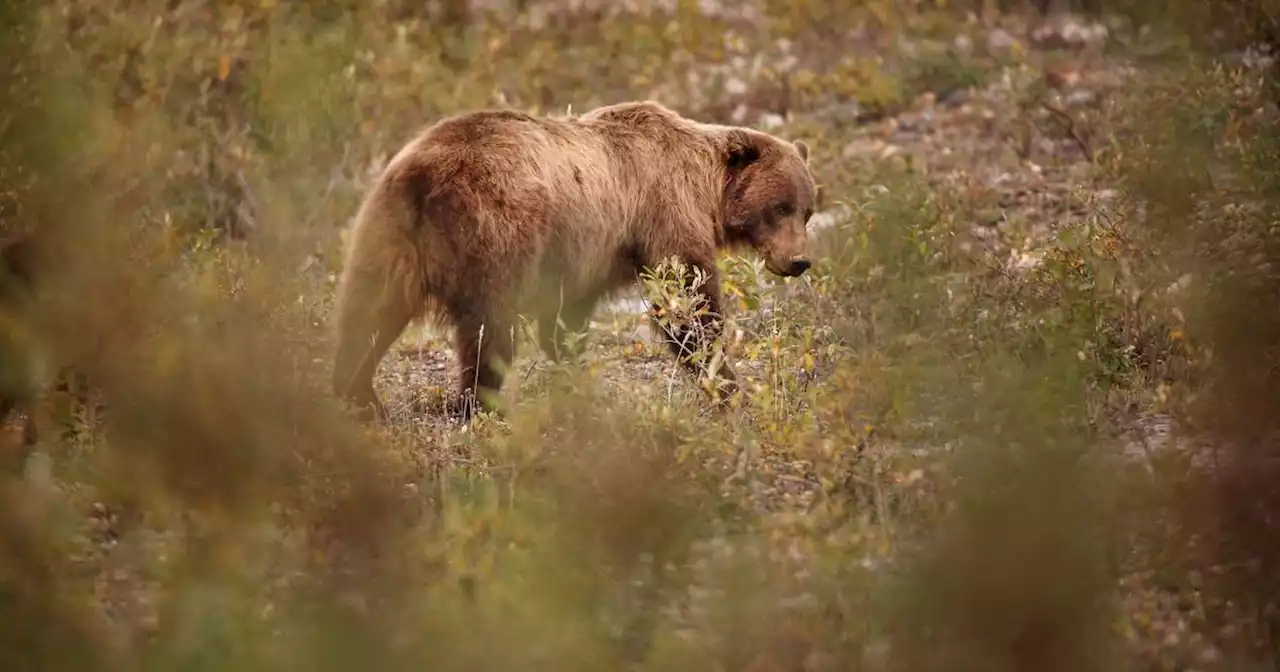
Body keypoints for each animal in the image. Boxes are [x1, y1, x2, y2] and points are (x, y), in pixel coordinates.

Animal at [327, 99, 808, 422]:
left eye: (807, 209)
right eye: (780, 207)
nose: (799, 261)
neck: (707, 188)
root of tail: (425, 175)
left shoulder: (584, 255)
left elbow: (564, 322)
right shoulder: (663, 210)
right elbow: (686, 302)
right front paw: (729, 385)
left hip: (387, 233)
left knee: (367, 314)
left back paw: (359, 396)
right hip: (496, 232)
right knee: (490, 329)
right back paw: (481, 405)